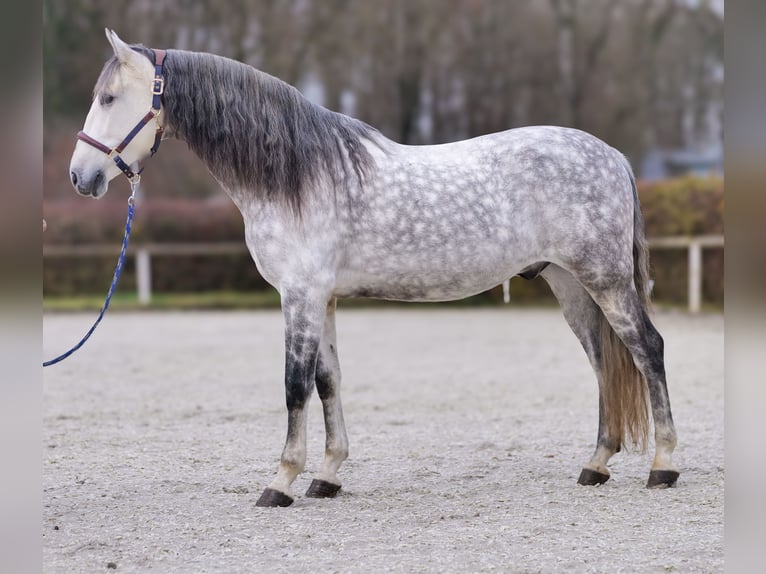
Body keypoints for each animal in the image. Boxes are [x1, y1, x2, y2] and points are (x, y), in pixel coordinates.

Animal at [69, 31, 680, 508]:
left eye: (109, 97)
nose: (81, 177)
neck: (298, 175)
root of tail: (613, 157)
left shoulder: (300, 296)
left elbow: (294, 386)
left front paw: (281, 481)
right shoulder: (323, 299)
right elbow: (328, 381)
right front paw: (326, 476)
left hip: (604, 280)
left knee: (647, 349)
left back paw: (663, 466)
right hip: (570, 283)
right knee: (603, 362)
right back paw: (596, 465)